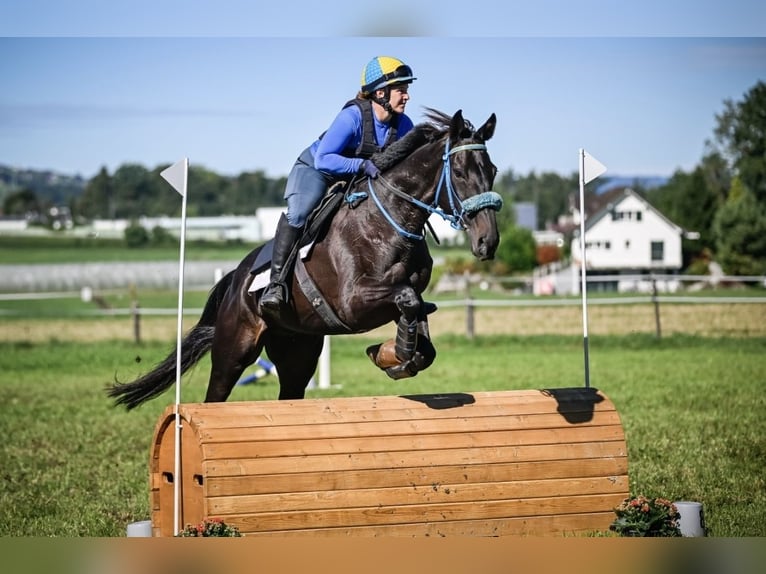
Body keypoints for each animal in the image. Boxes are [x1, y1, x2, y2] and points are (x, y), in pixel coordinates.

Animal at [107, 107, 502, 410]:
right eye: (460, 172)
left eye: (492, 171)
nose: (488, 242)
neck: (390, 220)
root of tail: (236, 277)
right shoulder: (354, 303)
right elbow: (407, 299)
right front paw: (390, 354)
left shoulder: (404, 297)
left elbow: (418, 317)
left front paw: (394, 355)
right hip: (235, 348)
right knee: (215, 394)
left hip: (298, 350)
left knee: (290, 392)